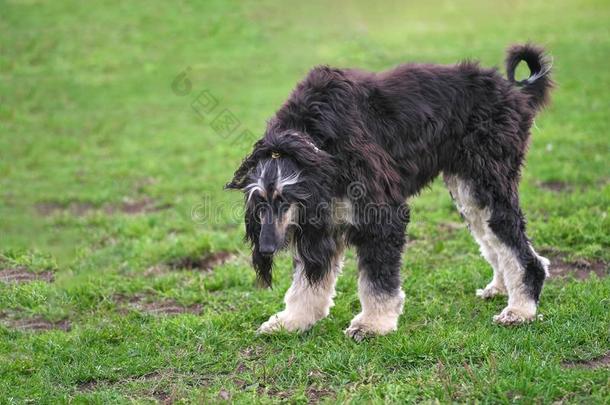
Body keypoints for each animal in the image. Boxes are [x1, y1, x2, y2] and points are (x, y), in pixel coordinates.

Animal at [227, 44, 552, 340]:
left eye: (285, 200)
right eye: (260, 204)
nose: (266, 248)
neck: (317, 144)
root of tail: (514, 93)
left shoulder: (381, 214)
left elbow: (377, 279)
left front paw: (372, 324)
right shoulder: (323, 219)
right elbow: (306, 282)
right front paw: (292, 320)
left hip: (487, 182)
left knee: (521, 250)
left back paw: (520, 309)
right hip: (469, 190)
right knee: (494, 239)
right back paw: (501, 288)